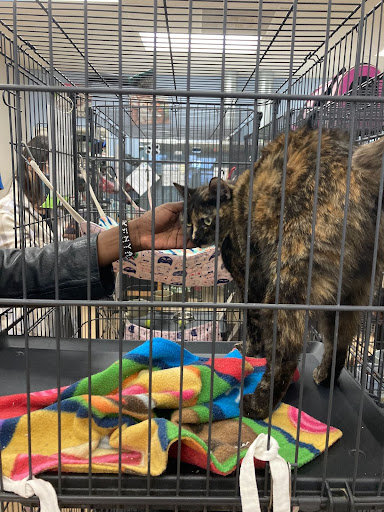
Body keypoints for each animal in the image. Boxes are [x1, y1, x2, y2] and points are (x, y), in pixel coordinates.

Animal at [176, 128, 384, 420]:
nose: (193, 239)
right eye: (187, 222)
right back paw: (325, 376)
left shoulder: (250, 280)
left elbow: (252, 323)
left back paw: (259, 403)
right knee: (340, 336)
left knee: (288, 347)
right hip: (350, 290)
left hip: (289, 278)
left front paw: (250, 353)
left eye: (206, 220)